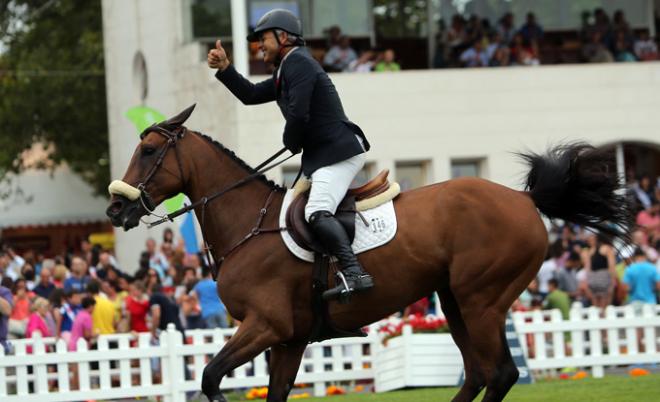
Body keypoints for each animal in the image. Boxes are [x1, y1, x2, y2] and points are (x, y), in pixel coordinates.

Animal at [107, 107, 628, 402]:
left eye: (148, 150)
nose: (115, 209)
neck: (248, 225)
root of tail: (524, 199)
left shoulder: (264, 326)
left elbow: (211, 378)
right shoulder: (288, 340)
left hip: (482, 300)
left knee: (499, 373)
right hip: (456, 302)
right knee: (480, 374)